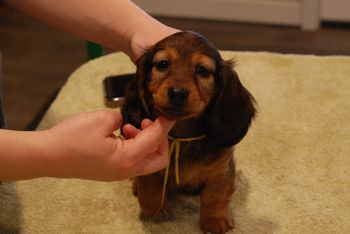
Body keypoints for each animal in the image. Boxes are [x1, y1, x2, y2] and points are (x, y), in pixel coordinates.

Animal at [121, 31, 256, 234]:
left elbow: (215, 195)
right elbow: (150, 183)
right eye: (162, 64)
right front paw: (154, 208)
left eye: (203, 70)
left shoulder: (220, 170)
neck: (183, 137)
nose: (177, 92)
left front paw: (214, 221)